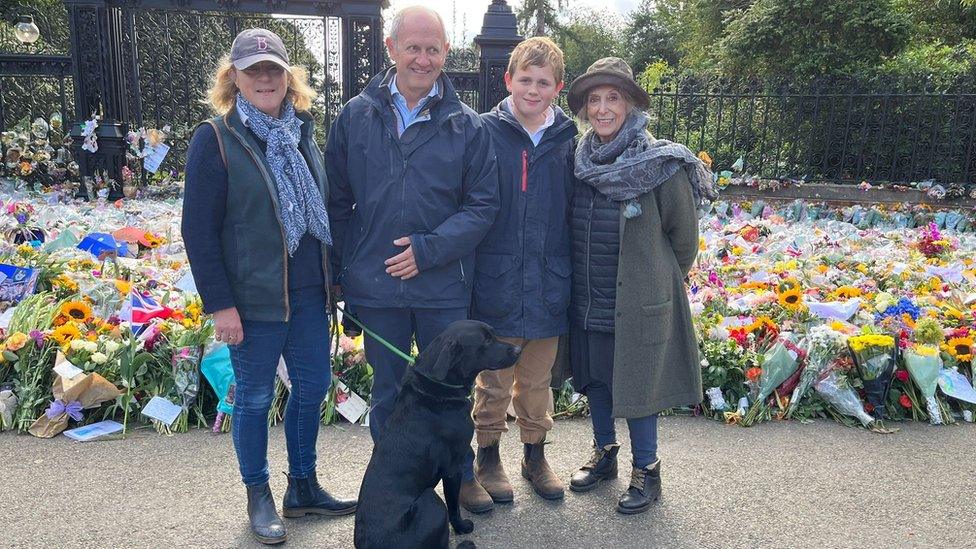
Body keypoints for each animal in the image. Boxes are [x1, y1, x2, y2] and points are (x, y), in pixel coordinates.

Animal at [350, 316, 520, 548]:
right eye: (486, 341)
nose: (519, 349)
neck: (438, 387)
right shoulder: (453, 467)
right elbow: (453, 505)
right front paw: (462, 527)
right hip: (430, 499)